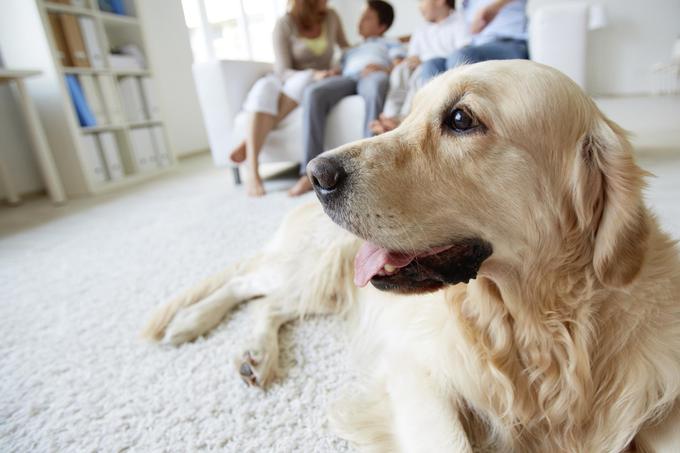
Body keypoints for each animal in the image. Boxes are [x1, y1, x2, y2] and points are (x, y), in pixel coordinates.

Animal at [143, 61, 680, 452]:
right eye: (407, 116)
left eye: (461, 119)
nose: (316, 173)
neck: (535, 328)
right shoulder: (416, 371)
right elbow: (448, 438)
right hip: (318, 268)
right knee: (249, 284)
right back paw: (191, 323)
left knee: (269, 303)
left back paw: (254, 355)